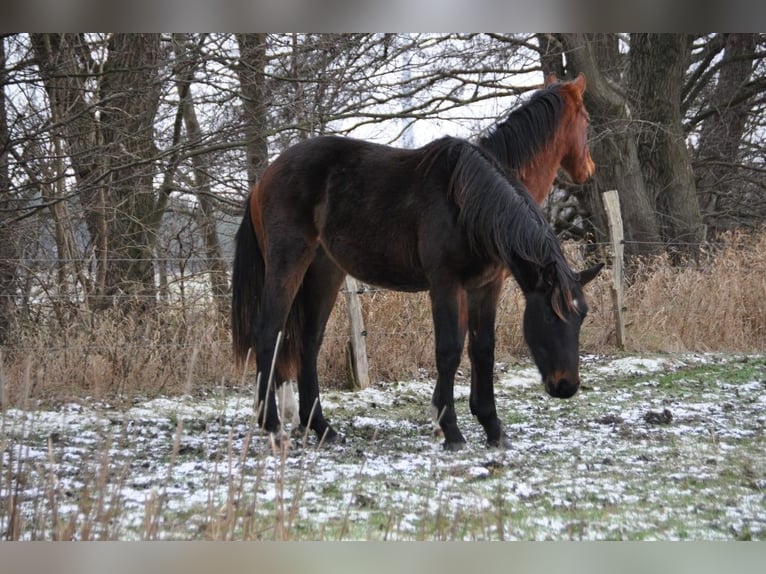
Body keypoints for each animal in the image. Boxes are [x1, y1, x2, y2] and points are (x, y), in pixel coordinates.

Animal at [231, 73, 604, 450]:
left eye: (581, 317)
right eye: (550, 316)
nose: (566, 386)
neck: (467, 200)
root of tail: (264, 179)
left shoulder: (487, 285)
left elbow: (483, 349)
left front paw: (492, 425)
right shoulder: (445, 283)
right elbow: (449, 349)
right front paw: (449, 428)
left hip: (325, 272)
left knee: (308, 342)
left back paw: (321, 427)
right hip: (288, 262)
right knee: (269, 332)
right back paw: (273, 425)